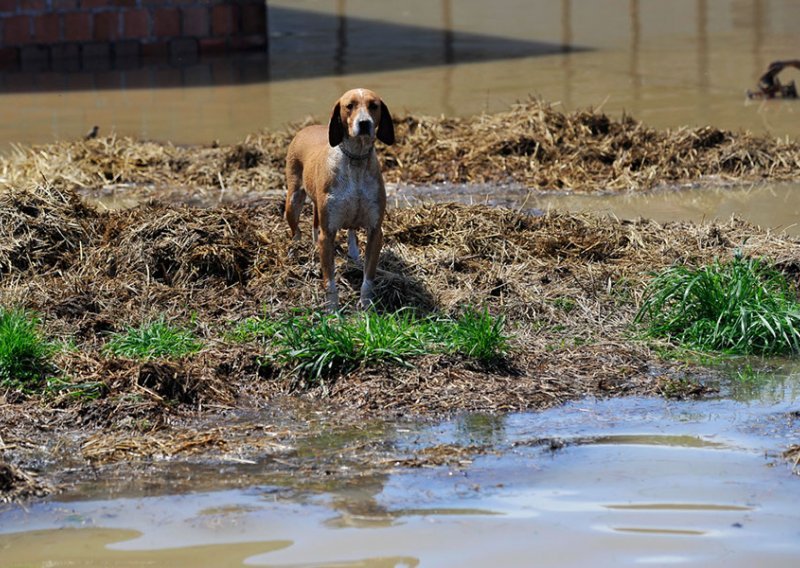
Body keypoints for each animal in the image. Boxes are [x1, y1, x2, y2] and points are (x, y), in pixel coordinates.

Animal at [286, 87, 396, 310]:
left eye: (374, 105)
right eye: (349, 106)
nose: (364, 123)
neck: (356, 160)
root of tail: (305, 128)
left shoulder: (375, 231)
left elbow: (368, 279)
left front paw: (367, 307)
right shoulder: (328, 234)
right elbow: (329, 282)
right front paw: (333, 311)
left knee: (349, 231)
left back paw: (353, 254)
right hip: (293, 202)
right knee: (297, 232)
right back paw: (296, 249)